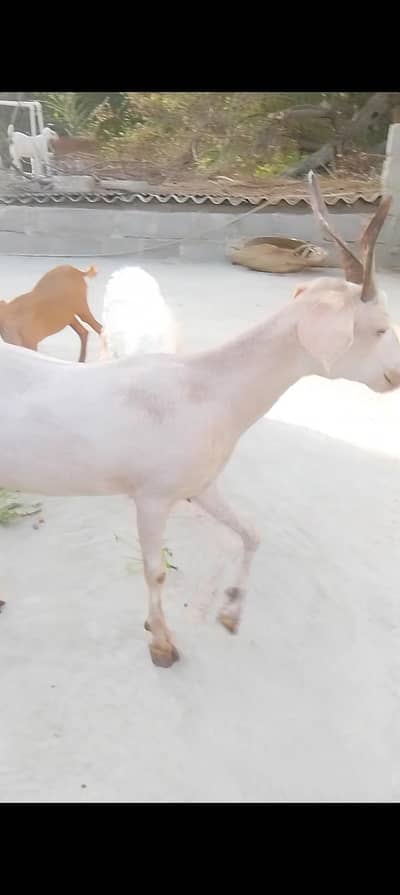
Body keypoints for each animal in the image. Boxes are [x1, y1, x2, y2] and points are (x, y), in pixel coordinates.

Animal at [0, 174, 399, 668]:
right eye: (379, 327)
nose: (395, 374)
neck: (208, 390)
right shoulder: (152, 496)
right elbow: (155, 572)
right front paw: (161, 643)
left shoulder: (201, 485)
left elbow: (252, 534)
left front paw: (230, 612)